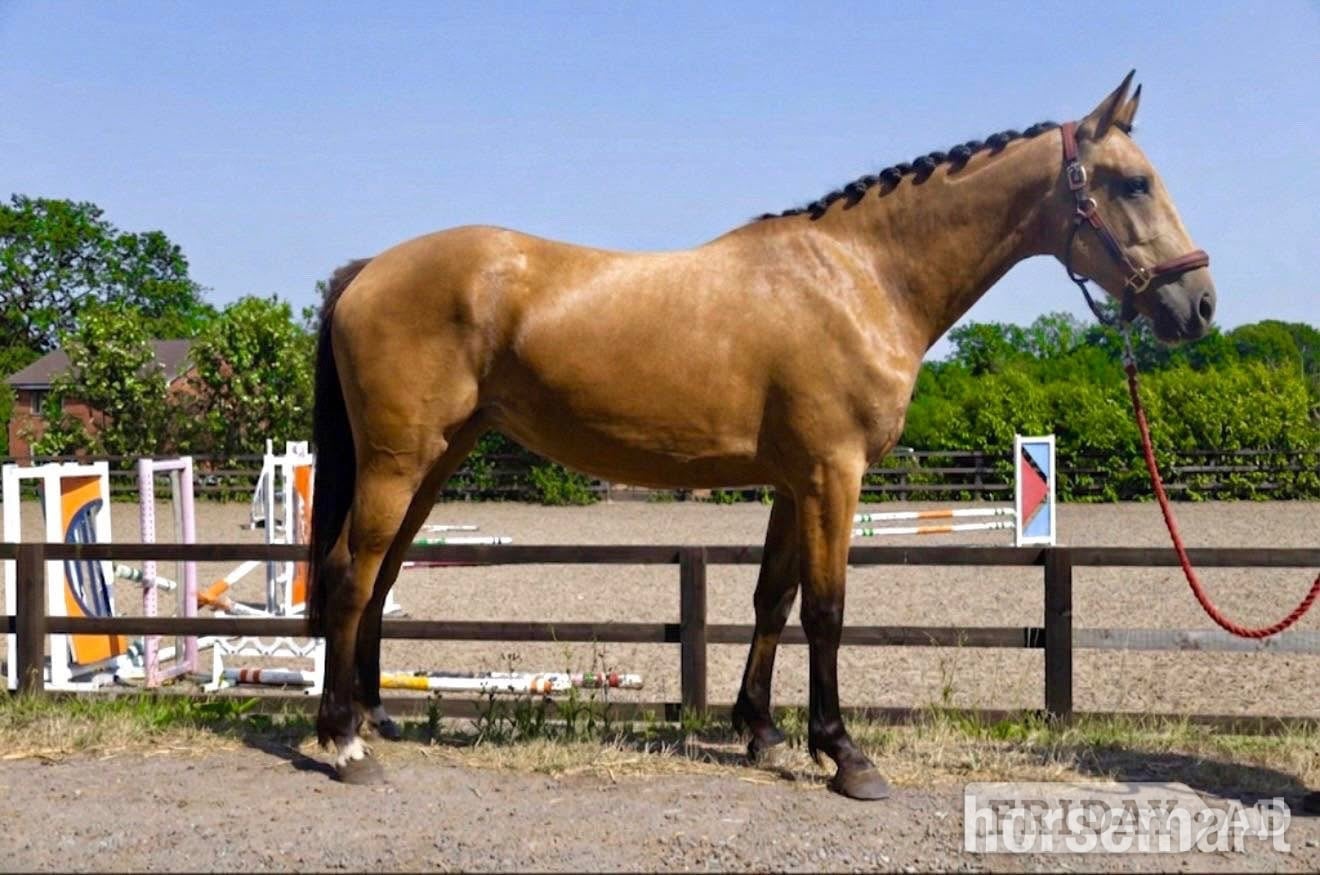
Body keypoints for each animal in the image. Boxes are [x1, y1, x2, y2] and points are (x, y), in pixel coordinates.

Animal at [307, 71, 1215, 798]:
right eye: (1134, 183)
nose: (1199, 304)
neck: (860, 275)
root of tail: (366, 269)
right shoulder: (832, 474)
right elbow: (827, 608)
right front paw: (844, 753)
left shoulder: (793, 480)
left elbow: (772, 597)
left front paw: (760, 729)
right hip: (399, 460)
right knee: (352, 570)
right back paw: (343, 741)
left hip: (435, 458)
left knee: (383, 574)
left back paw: (375, 715)